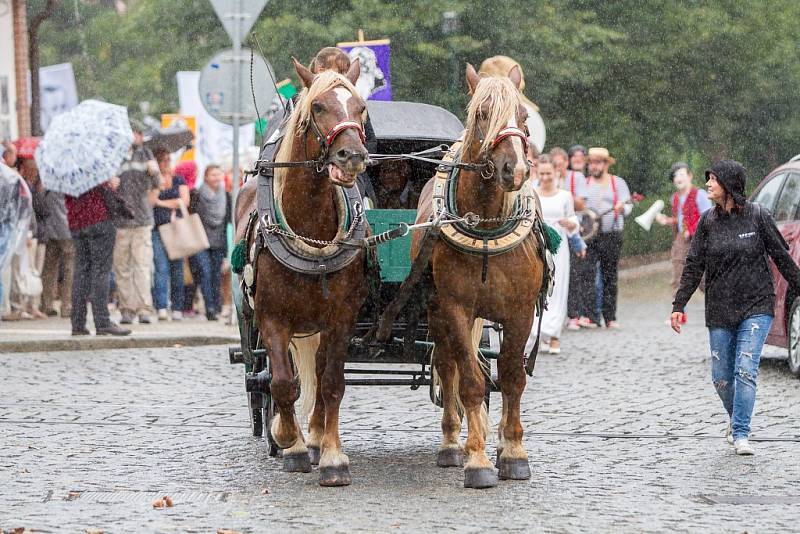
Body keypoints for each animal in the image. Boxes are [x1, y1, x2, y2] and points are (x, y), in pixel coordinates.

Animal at [236, 59, 370, 490]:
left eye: (360, 106)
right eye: (319, 107)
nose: (351, 156)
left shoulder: (341, 319)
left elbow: (331, 384)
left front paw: (331, 456)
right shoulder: (272, 319)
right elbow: (282, 383)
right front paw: (289, 442)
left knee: (320, 372)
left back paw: (315, 436)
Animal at [412, 63, 544, 490]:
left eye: (523, 117)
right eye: (482, 114)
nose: (514, 170)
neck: (486, 227)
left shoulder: (520, 311)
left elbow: (513, 376)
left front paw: (513, 451)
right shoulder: (456, 309)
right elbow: (469, 381)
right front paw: (476, 459)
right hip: (437, 312)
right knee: (448, 364)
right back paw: (453, 442)